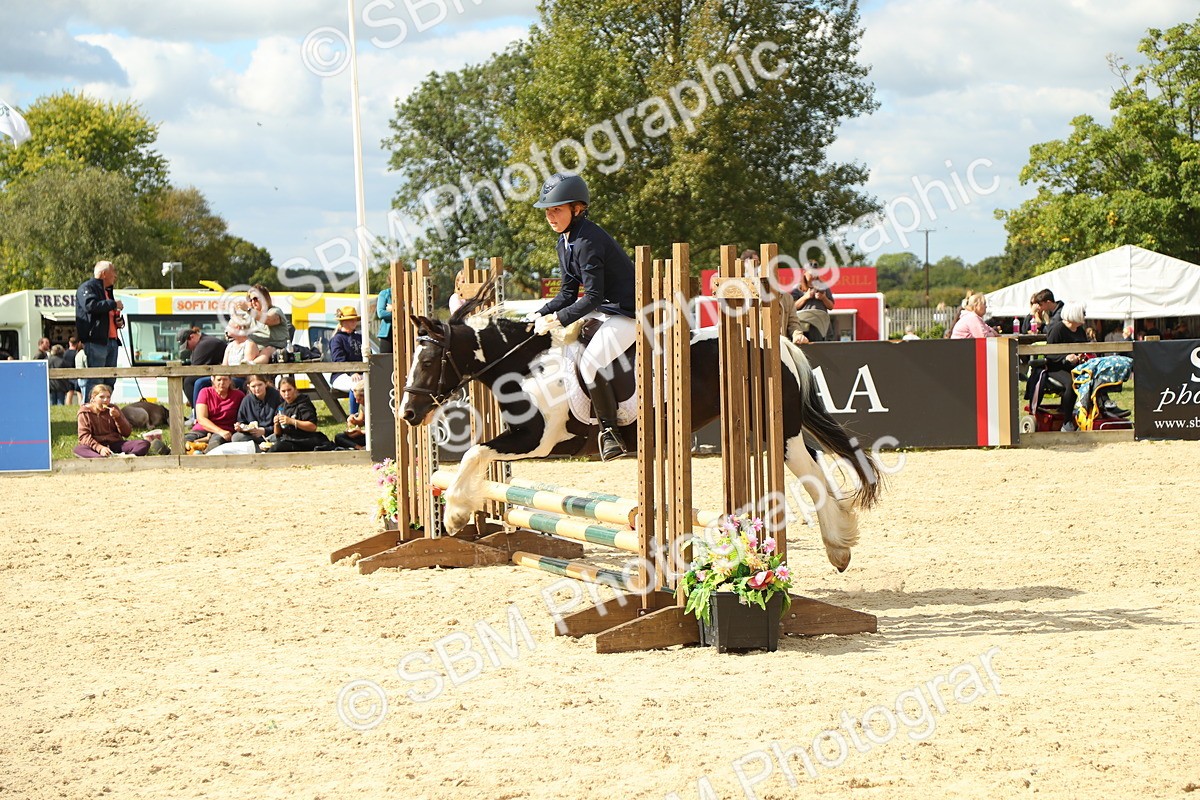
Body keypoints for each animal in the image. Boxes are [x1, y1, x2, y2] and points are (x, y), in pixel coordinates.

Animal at [397, 292, 882, 571]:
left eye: (429, 361)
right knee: (817, 469)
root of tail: (773, 342)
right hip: (776, 432)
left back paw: (837, 549)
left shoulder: (542, 440)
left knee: (813, 477)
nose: (407, 413)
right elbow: (478, 457)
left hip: (776, 432)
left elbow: (474, 453)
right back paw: (840, 544)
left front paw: (455, 513)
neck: (526, 363)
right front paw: (463, 511)